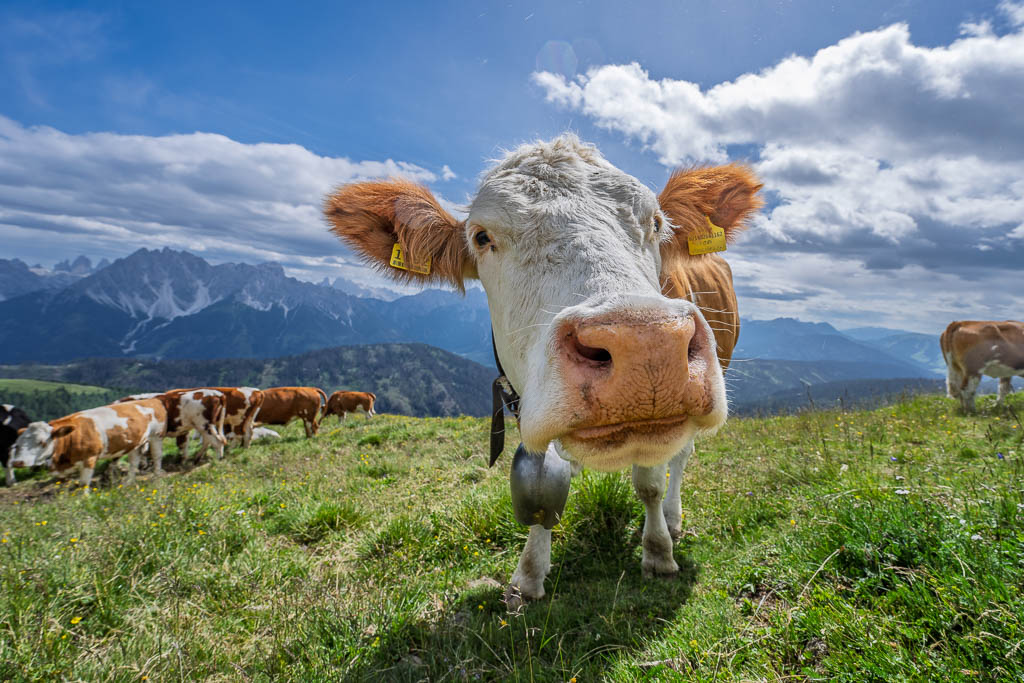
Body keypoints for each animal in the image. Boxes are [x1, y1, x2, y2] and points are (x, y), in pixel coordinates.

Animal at [9, 398, 167, 492]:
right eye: (17, 445)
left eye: (41, 442)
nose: (18, 462)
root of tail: (152, 400)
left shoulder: (89, 457)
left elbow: (84, 482)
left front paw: (84, 499)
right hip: (135, 442)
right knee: (134, 462)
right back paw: (129, 482)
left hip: (156, 436)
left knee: (157, 456)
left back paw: (157, 476)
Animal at [325, 135, 760, 603]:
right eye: (482, 237)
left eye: (657, 223)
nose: (647, 344)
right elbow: (539, 490)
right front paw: (529, 574)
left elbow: (650, 483)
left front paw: (658, 553)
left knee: (681, 456)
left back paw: (674, 519)